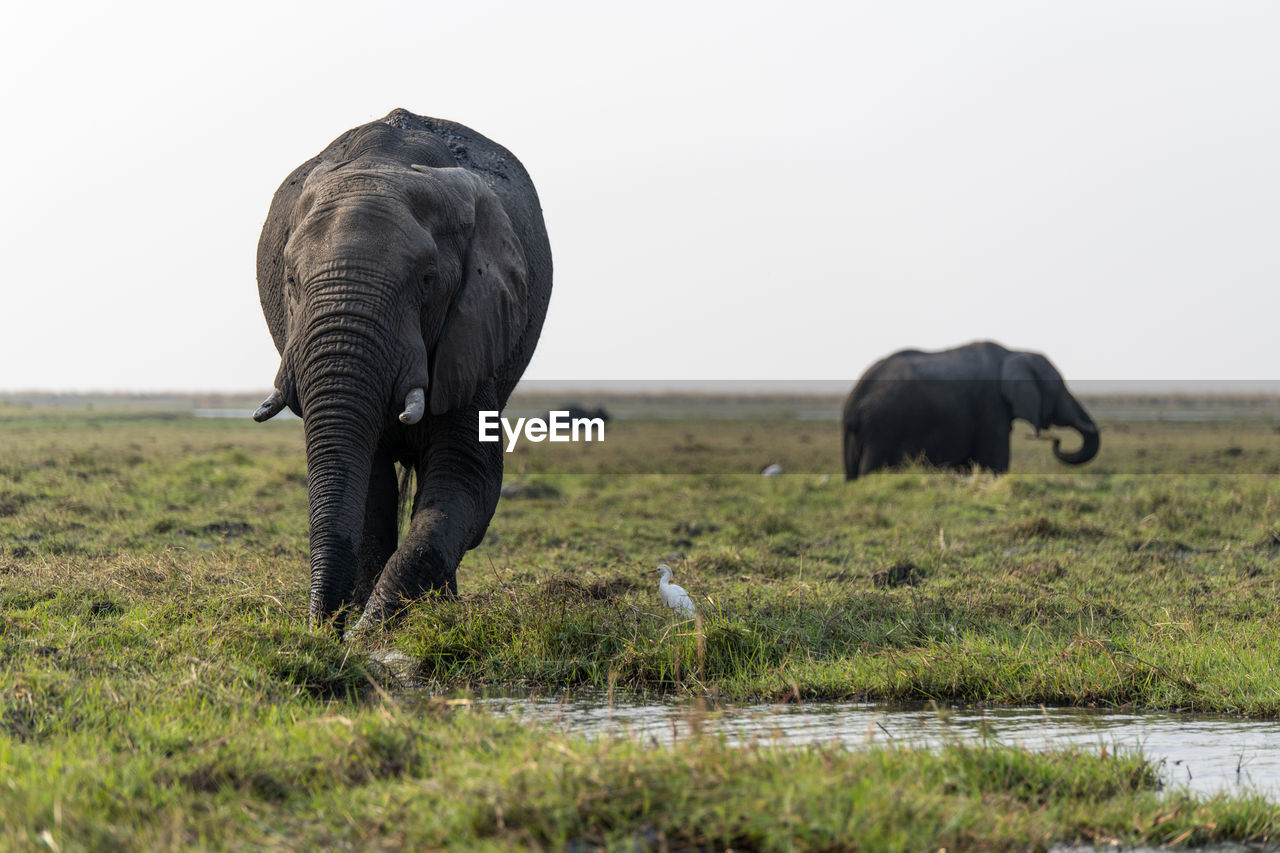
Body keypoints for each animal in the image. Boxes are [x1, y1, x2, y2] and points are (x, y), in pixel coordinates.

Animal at [253, 108, 550, 630]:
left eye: (427, 281)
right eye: (289, 279)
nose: (319, 630)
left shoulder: (473, 328)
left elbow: (468, 477)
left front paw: (376, 629)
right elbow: (370, 487)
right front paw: (361, 621)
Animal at [839, 343, 1100, 481]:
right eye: (1059, 389)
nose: (1056, 440)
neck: (1013, 353)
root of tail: (853, 401)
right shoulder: (990, 406)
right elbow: (995, 463)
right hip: (882, 427)